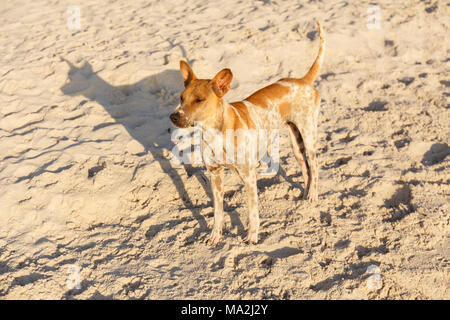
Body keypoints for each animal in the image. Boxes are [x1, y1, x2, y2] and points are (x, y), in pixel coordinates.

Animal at [171, 21, 326, 245]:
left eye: (199, 100)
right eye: (181, 98)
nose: (173, 117)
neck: (216, 133)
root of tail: (303, 80)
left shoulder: (249, 177)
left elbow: (253, 212)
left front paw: (252, 237)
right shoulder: (215, 175)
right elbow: (218, 212)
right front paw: (215, 236)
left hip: (308, 135)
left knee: (314, 165)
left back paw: (313, 195)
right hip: (296, 144)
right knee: (306, 169)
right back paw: (304, 196)